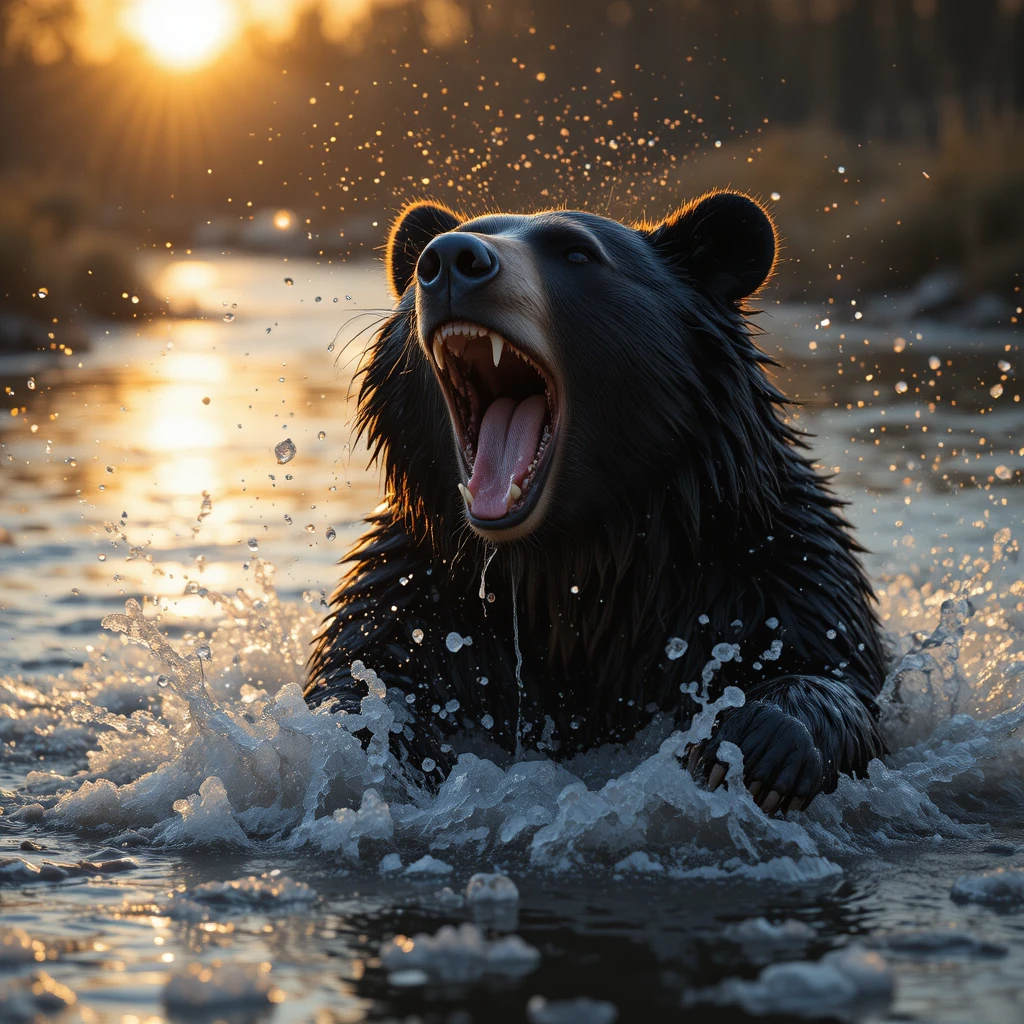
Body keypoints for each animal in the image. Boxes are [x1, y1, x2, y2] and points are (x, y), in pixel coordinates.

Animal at [304, 192, 887, 814]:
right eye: (428, 259)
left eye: (577, 252)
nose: (452, 258)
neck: (576, 562)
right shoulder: (424, 589)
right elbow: (366, 672)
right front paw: (381, 741)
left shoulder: (768, 568)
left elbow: (828, 667)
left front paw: (754, 749)